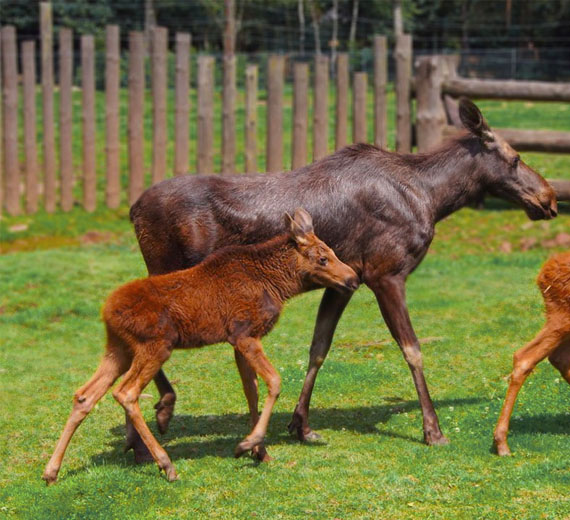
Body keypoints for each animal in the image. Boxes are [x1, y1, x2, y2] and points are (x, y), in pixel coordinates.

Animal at [42, 208, 358, 484]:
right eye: (322, 258)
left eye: (332, 253)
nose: (353, 279)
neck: (279, 285)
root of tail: (106, 312)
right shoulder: (244, 334)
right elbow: (274, 381)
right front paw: (249, 444)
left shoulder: (238, 341)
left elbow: (252, 392)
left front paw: (259, 450)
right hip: (155, 345)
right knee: (126, 393)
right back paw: (166, 463)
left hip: (119, 349)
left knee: (84, 395)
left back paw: (51, 471)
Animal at [127, 98, 556, 464]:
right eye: (516, 158)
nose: (550, 198)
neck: (434, 198)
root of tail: (133, 209)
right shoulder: (387, 273)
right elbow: (413, 350)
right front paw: (432, 430)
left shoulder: (347, 281)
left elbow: (319, 347)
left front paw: (300, 425)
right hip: (168, 270)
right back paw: (160, 414)